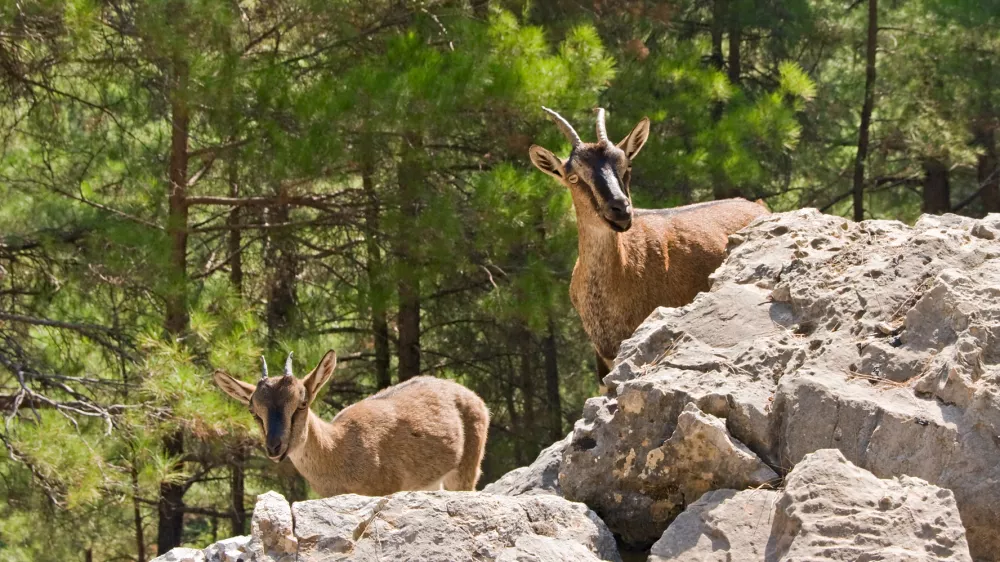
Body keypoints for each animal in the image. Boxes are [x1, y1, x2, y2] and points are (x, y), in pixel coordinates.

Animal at [213, 350, 489, 497]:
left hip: (466, 469)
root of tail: (476, 399)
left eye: (302, 403)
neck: (338, 448)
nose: (274, 446)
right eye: (253, 410)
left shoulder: (385, 489)